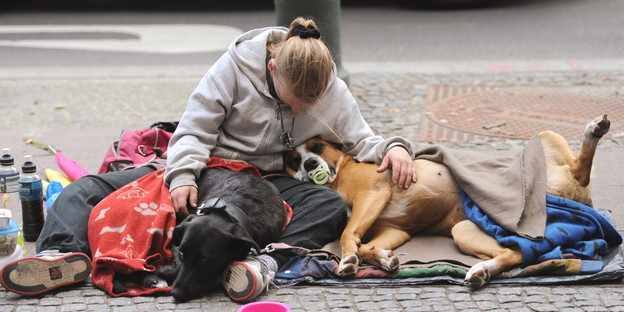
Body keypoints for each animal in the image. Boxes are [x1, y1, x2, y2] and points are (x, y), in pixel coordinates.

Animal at [286, 114, 612, 288]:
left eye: (317, 146)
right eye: (293, 161)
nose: (309, 163)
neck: (340, 173)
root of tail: (579, 196)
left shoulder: (373, 194)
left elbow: (347, 234)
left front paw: (347, 258)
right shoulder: (394, 230)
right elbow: (366, 244)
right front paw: (383, 258)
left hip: (546, 139)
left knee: (581, 170)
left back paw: (593, 131)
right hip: (464, 230)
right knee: (515, 254)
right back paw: (481, 271)